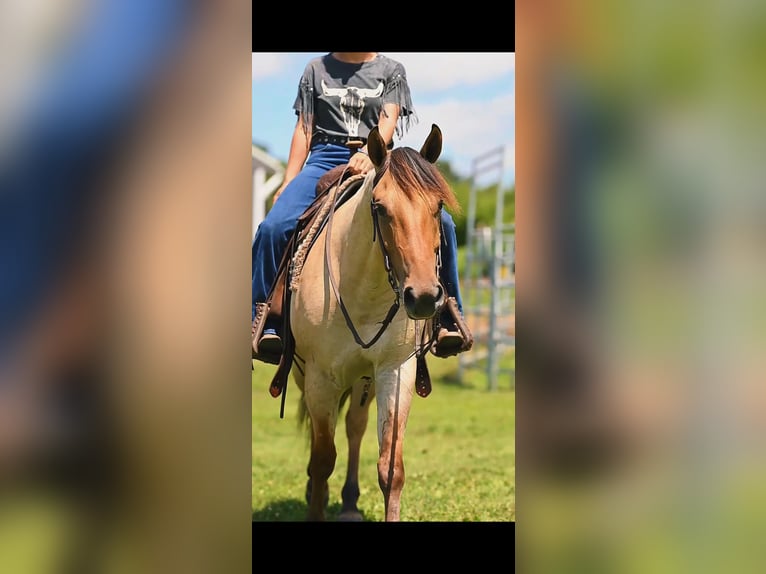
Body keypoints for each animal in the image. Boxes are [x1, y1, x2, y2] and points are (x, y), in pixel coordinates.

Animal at [283, 124, 460, 521]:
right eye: (379, 207)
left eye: (438, 207)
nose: (423, 297)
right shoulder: (320, 378)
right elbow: (322, 460)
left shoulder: (396, 370)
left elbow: (390, 468)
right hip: (306, 377)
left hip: (365, 381)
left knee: (354, 426)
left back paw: (349, 502)